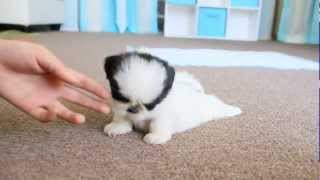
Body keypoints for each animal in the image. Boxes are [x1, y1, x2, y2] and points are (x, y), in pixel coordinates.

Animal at [102, 51, 240, 144]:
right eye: (121, 97)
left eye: (151, 105)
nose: (134, 109)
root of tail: (197, 92)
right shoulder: (121, 107)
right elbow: (122, 117)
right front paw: (118, 127)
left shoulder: (162, 115)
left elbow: (157, 124)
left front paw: (156, 136)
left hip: (212, 108)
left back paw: (234, 110)